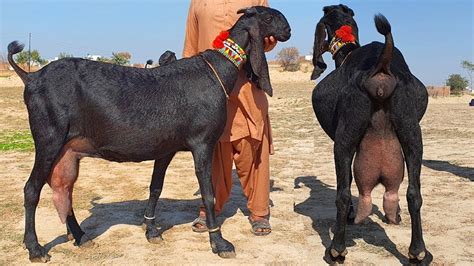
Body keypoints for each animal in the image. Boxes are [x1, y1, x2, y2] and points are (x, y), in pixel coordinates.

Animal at [9, 6, 290, 262]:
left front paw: (151, 230)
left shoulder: (166, 149)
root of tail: (31, 77)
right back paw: (35, 248)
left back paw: (80, 236)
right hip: (49, 139)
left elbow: (156, 187)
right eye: (268, 16)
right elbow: (208, 193)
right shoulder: (203, 143)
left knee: (63, 189)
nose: (288, 30)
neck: (217, 71)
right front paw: (219, 242)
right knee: (32, 189)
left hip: (68, 150)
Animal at [310, 4, 432, 266]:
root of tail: (381, 69)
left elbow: (346, 186)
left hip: (344, 141)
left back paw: (336, 250)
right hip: (412, 136)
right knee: (414, 193)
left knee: (343, 194)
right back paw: (418, 252)